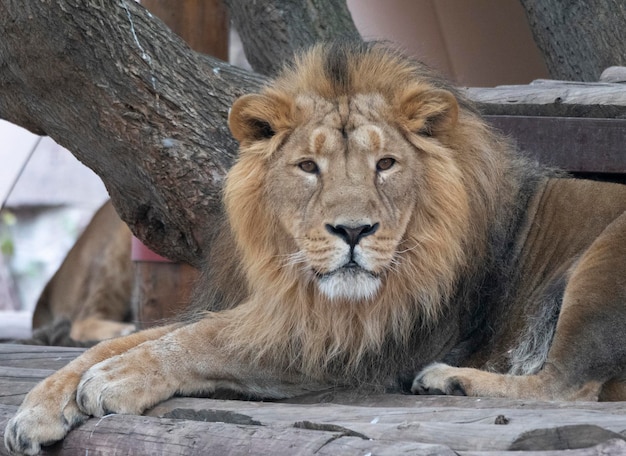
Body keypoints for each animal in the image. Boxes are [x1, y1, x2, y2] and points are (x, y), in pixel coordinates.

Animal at [6, 41, 626, 454]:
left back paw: (450, 378)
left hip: (603, 260)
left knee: (568, 388)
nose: (353, 231)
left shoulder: (348, 343)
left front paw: (115, 381)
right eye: (308, 166)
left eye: (386, 164)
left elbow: (203, 343)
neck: (302, 283)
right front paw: (39, 407)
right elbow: (133, 339)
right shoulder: (267, 307)